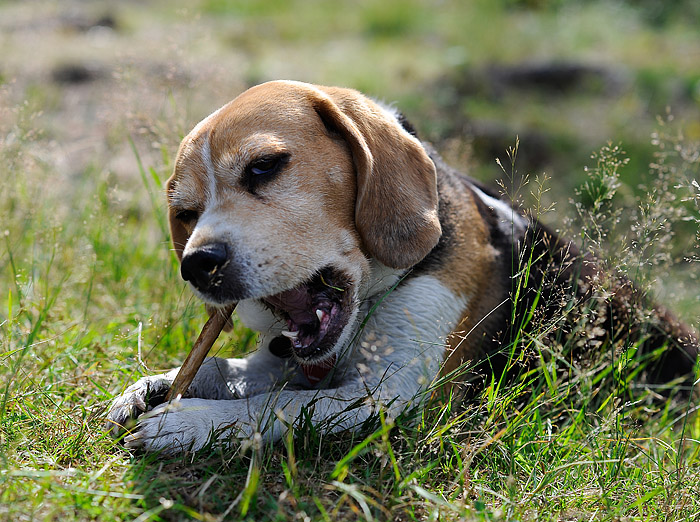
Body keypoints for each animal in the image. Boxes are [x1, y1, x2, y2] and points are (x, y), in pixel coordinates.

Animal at [106, 79, 696, 452]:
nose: (197, 264)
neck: (375, 293)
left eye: (264, 166)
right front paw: (155, 386)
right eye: (185, 214)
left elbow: (282, 407)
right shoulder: (278, 361)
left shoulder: (397, 397)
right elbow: (222, 371)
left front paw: (191, 423)